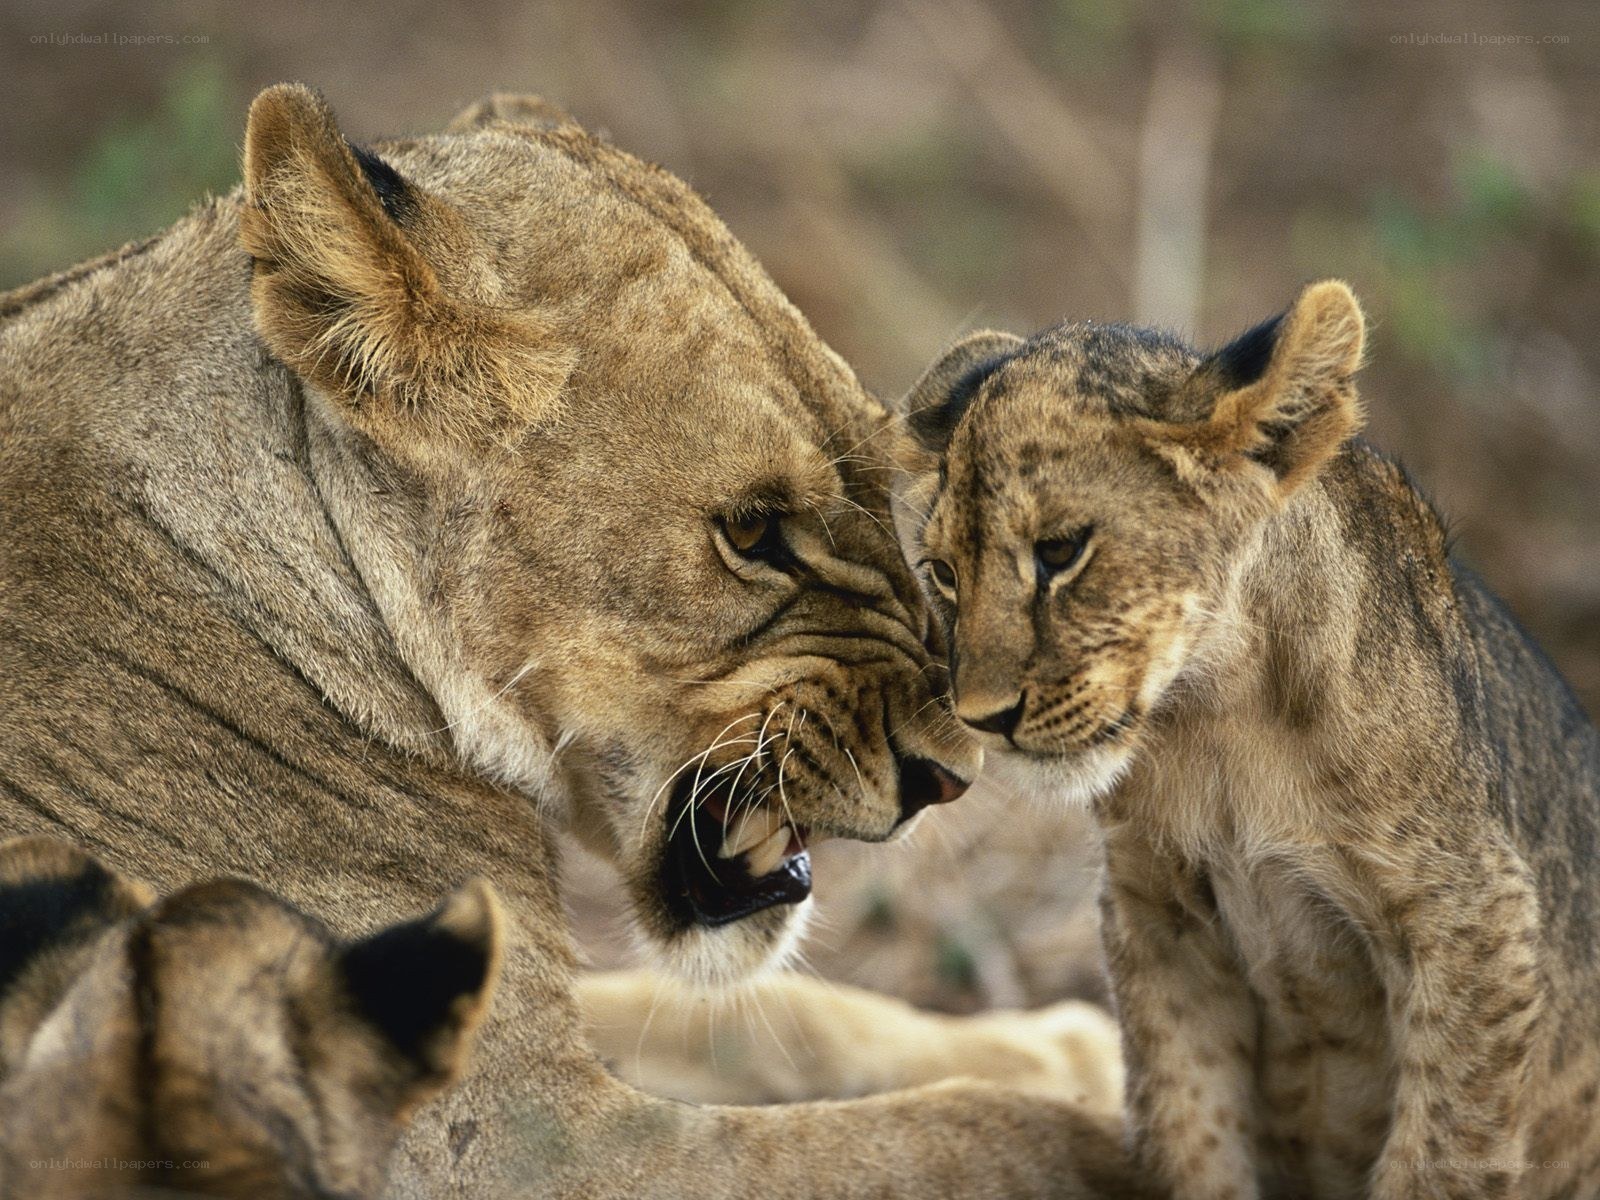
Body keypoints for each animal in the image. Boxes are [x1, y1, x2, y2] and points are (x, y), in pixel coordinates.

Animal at [890, 280, 1600, 1198]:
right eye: (944, 573)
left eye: (1060, 551)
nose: (982, 716)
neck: (1220, 715)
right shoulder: (1159, 918)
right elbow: (1192, 1131)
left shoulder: (1473, 914)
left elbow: (1442, 1152)